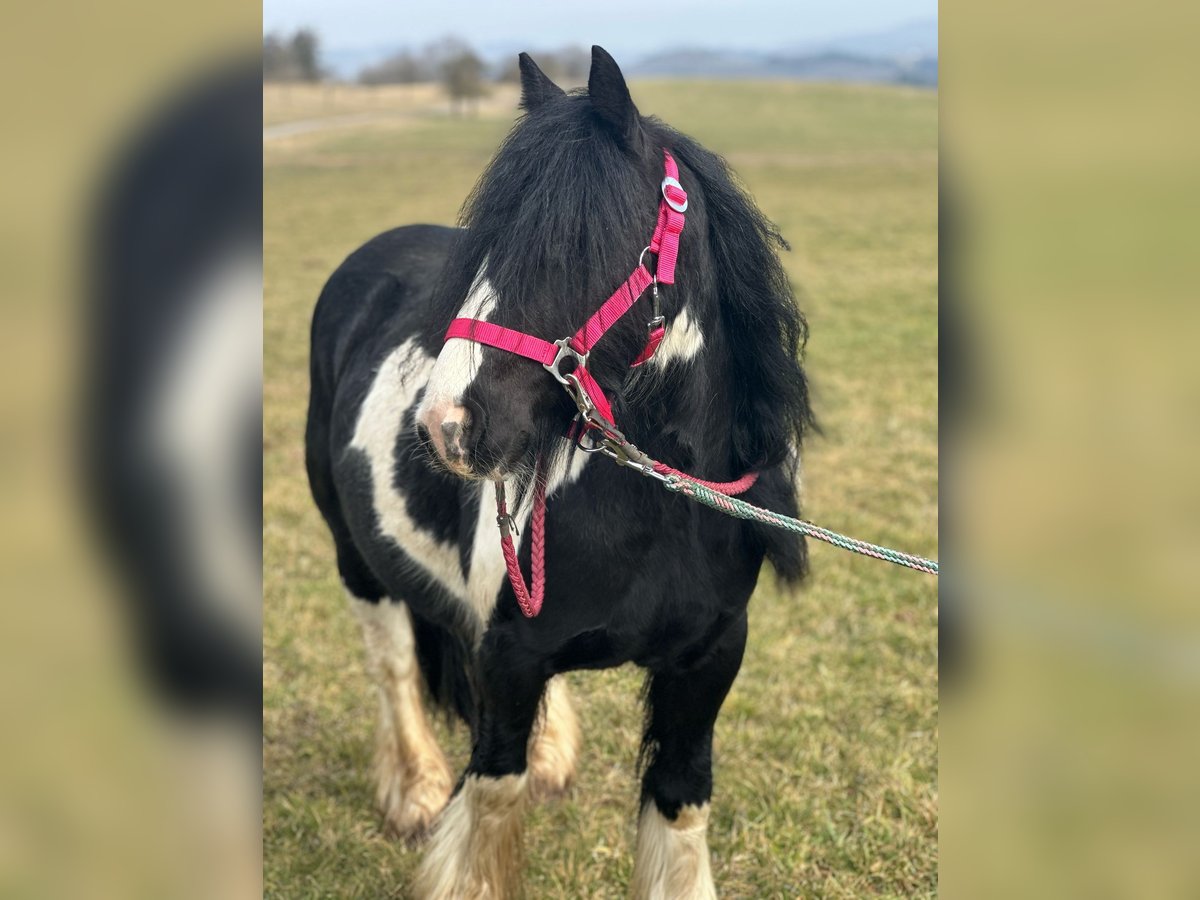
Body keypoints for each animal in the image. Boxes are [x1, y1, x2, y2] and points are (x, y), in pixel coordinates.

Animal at [309, 47, 816, 897]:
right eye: (484, 245)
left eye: (573, 244)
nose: (444, 425)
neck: (659, 516)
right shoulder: (507, 663)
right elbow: (488, 807)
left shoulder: (711, 659)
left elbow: (679, 802)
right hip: (356, 557)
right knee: (394, 665)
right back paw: (414, 789)